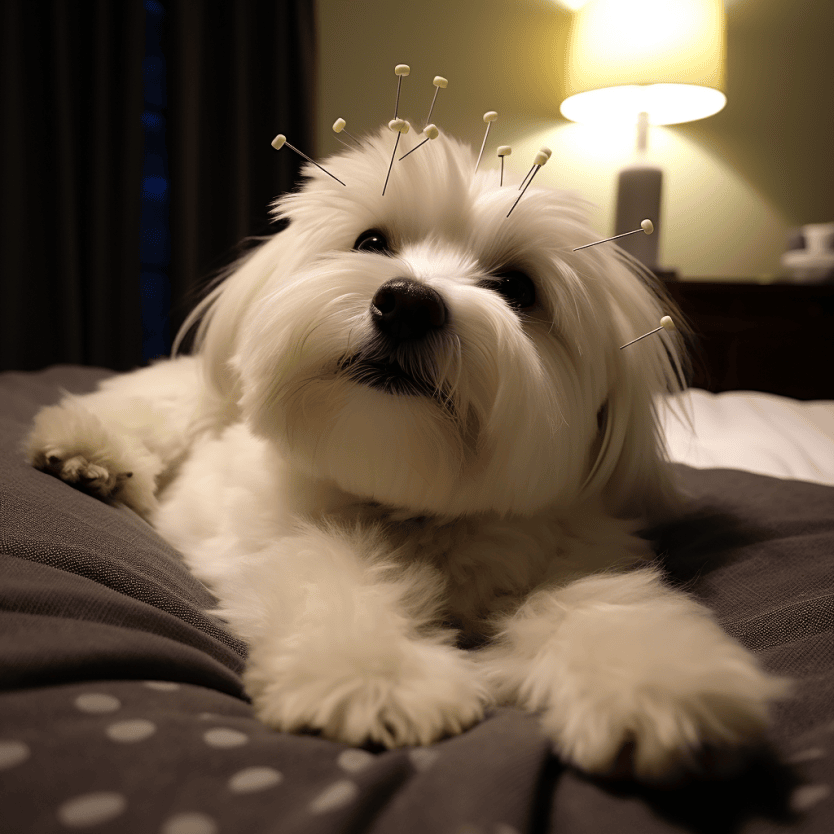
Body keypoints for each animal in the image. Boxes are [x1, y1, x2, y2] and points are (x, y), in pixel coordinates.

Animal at [29, 127, 788, 776]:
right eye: (371, 241)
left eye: (518, 287)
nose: (408, 303)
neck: (414, 504)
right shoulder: (275, 540)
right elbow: (330, 574)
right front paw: (376, 677)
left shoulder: (573, 555)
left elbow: (604, 605)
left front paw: (663, 685)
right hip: (184, 408)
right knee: (141, 412)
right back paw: (88, 454)